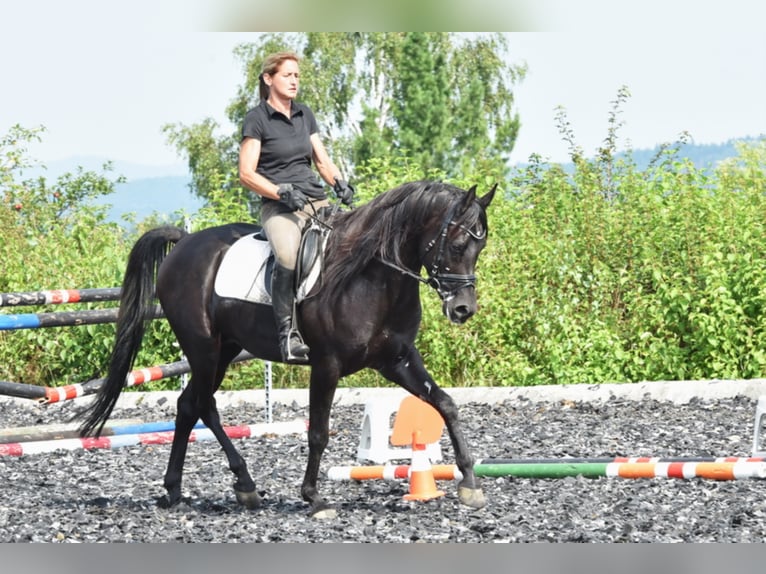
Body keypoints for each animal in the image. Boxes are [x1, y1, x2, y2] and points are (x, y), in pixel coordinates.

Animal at [79, 179, 496, 518]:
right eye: (458, 244)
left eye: (481, 246)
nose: (463, 309)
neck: (371, 277)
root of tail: (184, 242)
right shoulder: (326, 365)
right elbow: (318, 432)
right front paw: (314, 498)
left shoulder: (397, 360)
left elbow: (446, 404)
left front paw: (470, 483)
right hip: (203, 348)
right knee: (201, 404)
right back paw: (233, 485)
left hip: (224, 350)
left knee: (190, 406)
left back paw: (188, 489)